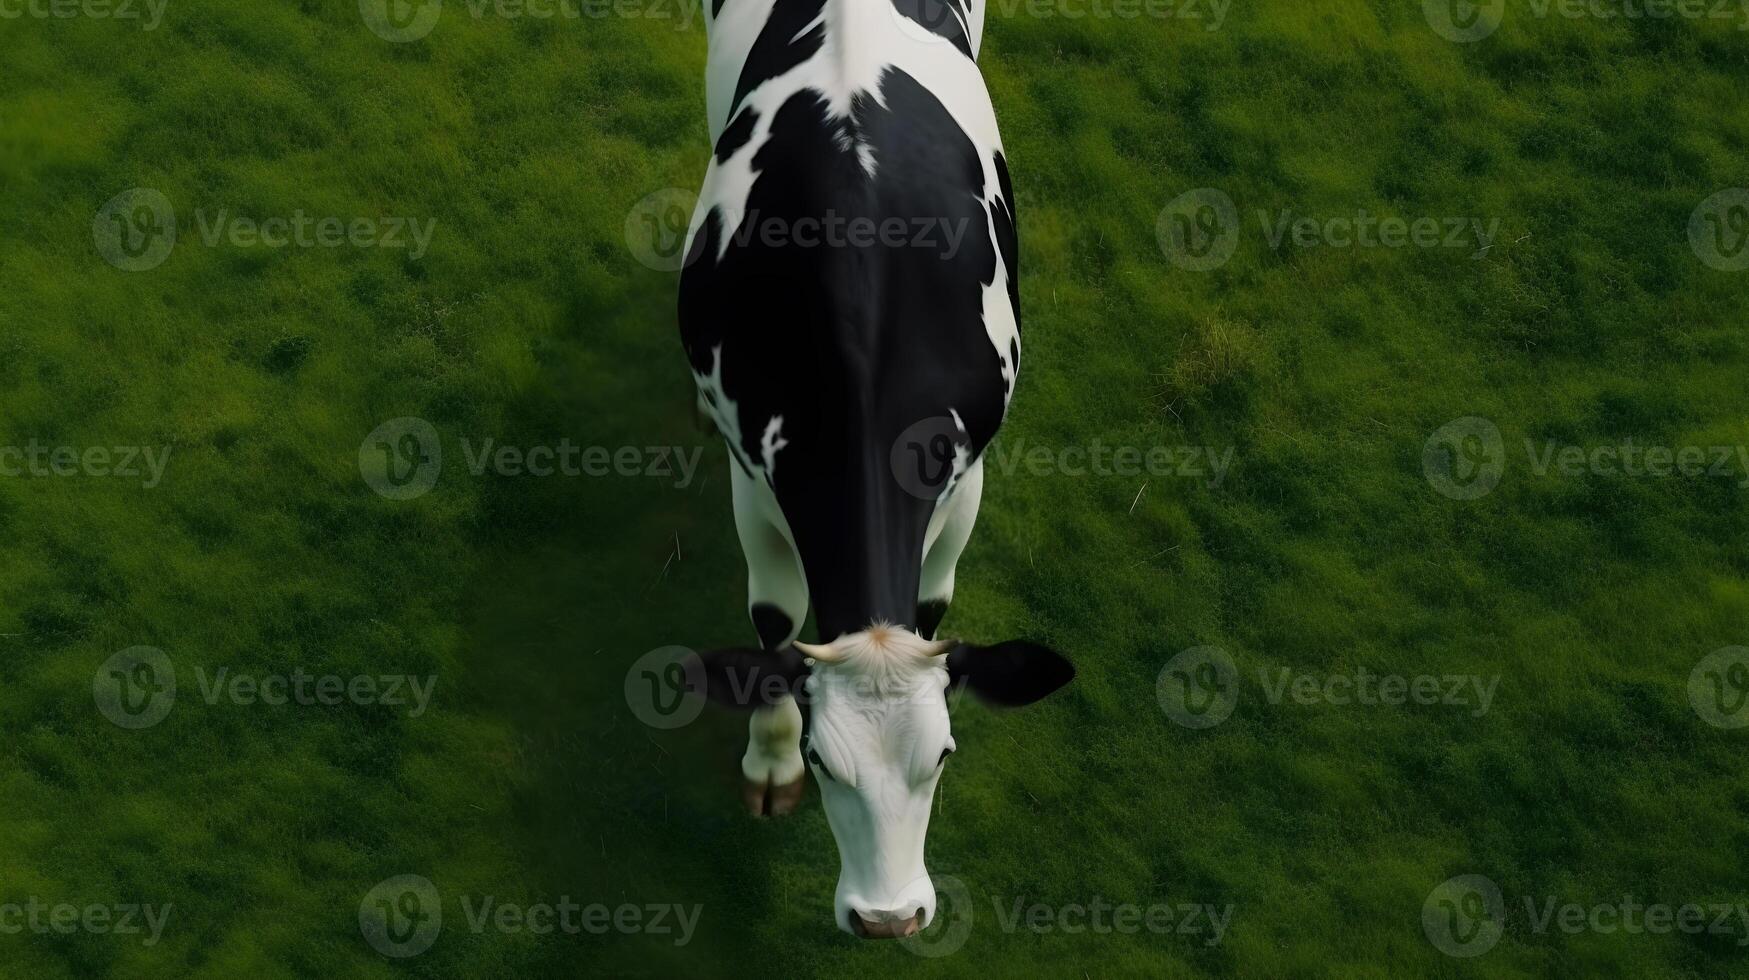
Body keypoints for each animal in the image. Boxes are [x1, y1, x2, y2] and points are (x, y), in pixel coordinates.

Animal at [675, 0, 1070, 945]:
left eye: (945, 754)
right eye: (823, 760)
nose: (889, 919)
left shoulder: (965, 476)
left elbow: (933, 601)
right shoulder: (755, 480)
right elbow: (773, 624)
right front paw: (768, 759)